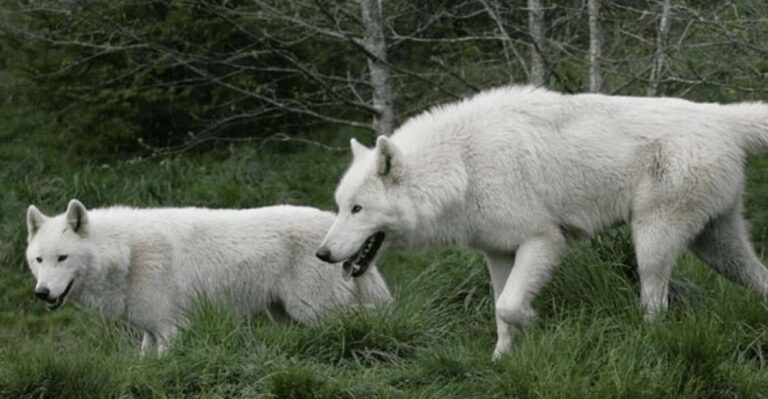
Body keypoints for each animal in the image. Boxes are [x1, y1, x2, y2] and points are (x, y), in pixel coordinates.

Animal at [27, 202, 392, 354]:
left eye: (63, 258)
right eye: (39, 260)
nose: (42, 293)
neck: (128, 254)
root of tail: (330, 224)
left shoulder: (173, 330)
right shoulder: (150, 331)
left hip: (315, 311)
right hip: (287, 316)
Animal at [316, 85, 768, 360]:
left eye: (357, 209)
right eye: (339, 206)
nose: (321, 253)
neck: (462, 165)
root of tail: (721, 118)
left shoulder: (543, 240)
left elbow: (511, 306)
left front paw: (536, 324)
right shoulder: (498, 254)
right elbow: (500, 309)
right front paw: (502, 359)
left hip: (653, 244)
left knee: (656, 300)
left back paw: (649, 338)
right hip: (717, 248)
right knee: (759, 276)